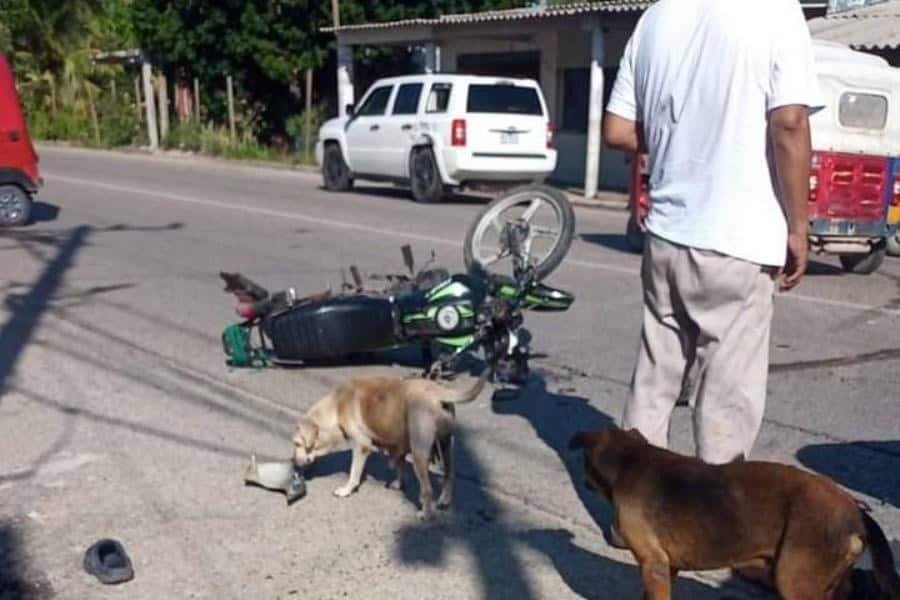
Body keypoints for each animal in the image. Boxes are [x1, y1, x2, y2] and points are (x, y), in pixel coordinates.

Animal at [292, 368, 488, 516]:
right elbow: (398, 464)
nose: (293, 462)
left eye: (296, 444)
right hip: (446, 444)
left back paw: (426, 513)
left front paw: (347, 490)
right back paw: (444, 500)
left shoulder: (362, 446)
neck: (336, 405)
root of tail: (439, 391)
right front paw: (399, 483)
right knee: (449, 474)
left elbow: (354, 473)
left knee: (427, 489)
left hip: (419, 453)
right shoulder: (396, 444)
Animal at [568, 426, 900, 600]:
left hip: (795, 581)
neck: (630, 459)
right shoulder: (666, 564)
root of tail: (855, 511)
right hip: (830, 582)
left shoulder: (654, 564)